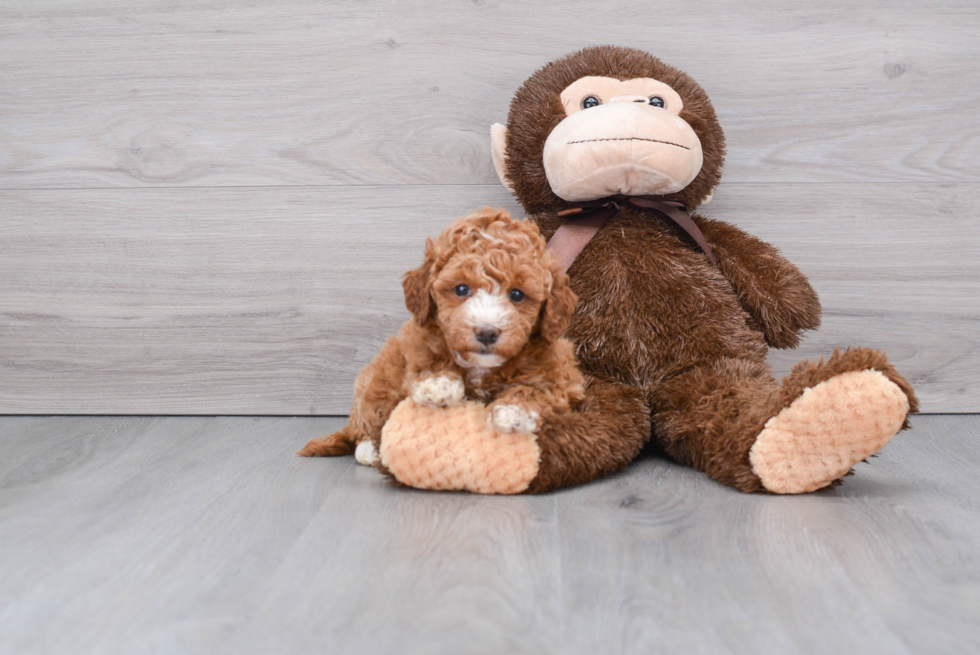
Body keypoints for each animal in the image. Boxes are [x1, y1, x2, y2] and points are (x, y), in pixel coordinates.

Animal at [298, 208, 584, 468]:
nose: (486, 331)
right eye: (461, 289)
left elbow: (537, 387)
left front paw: (513, 410)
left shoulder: (559, 374)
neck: (482, 367)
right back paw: (369, 449)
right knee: (365, 418)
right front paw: (438, 384)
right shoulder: (417, 338)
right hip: (377, 377)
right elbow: (429, 355)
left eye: (517, 294)